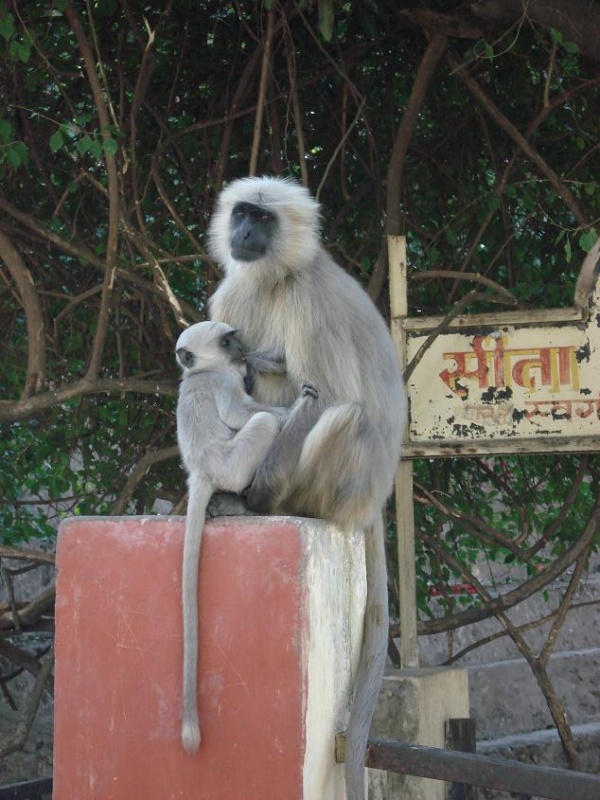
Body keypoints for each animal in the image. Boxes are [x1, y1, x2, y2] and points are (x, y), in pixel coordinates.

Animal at [175, 319, 318, 754]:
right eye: (226, 341)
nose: (241, 350)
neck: (198, 372)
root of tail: (202, 473)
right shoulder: (221, 381)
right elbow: (241, 412)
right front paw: (296, 405)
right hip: (234, 463)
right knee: (261, 425)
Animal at [208, 177, 405, 800]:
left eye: (264, 220)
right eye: (243, 215)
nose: (245, 233)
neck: (276, 275)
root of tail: (373, 501)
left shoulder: (306, 299)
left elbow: (331, 395)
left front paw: (250, 495)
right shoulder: (231, 298)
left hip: (342, 483)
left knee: (343, 412)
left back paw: (261, 503)